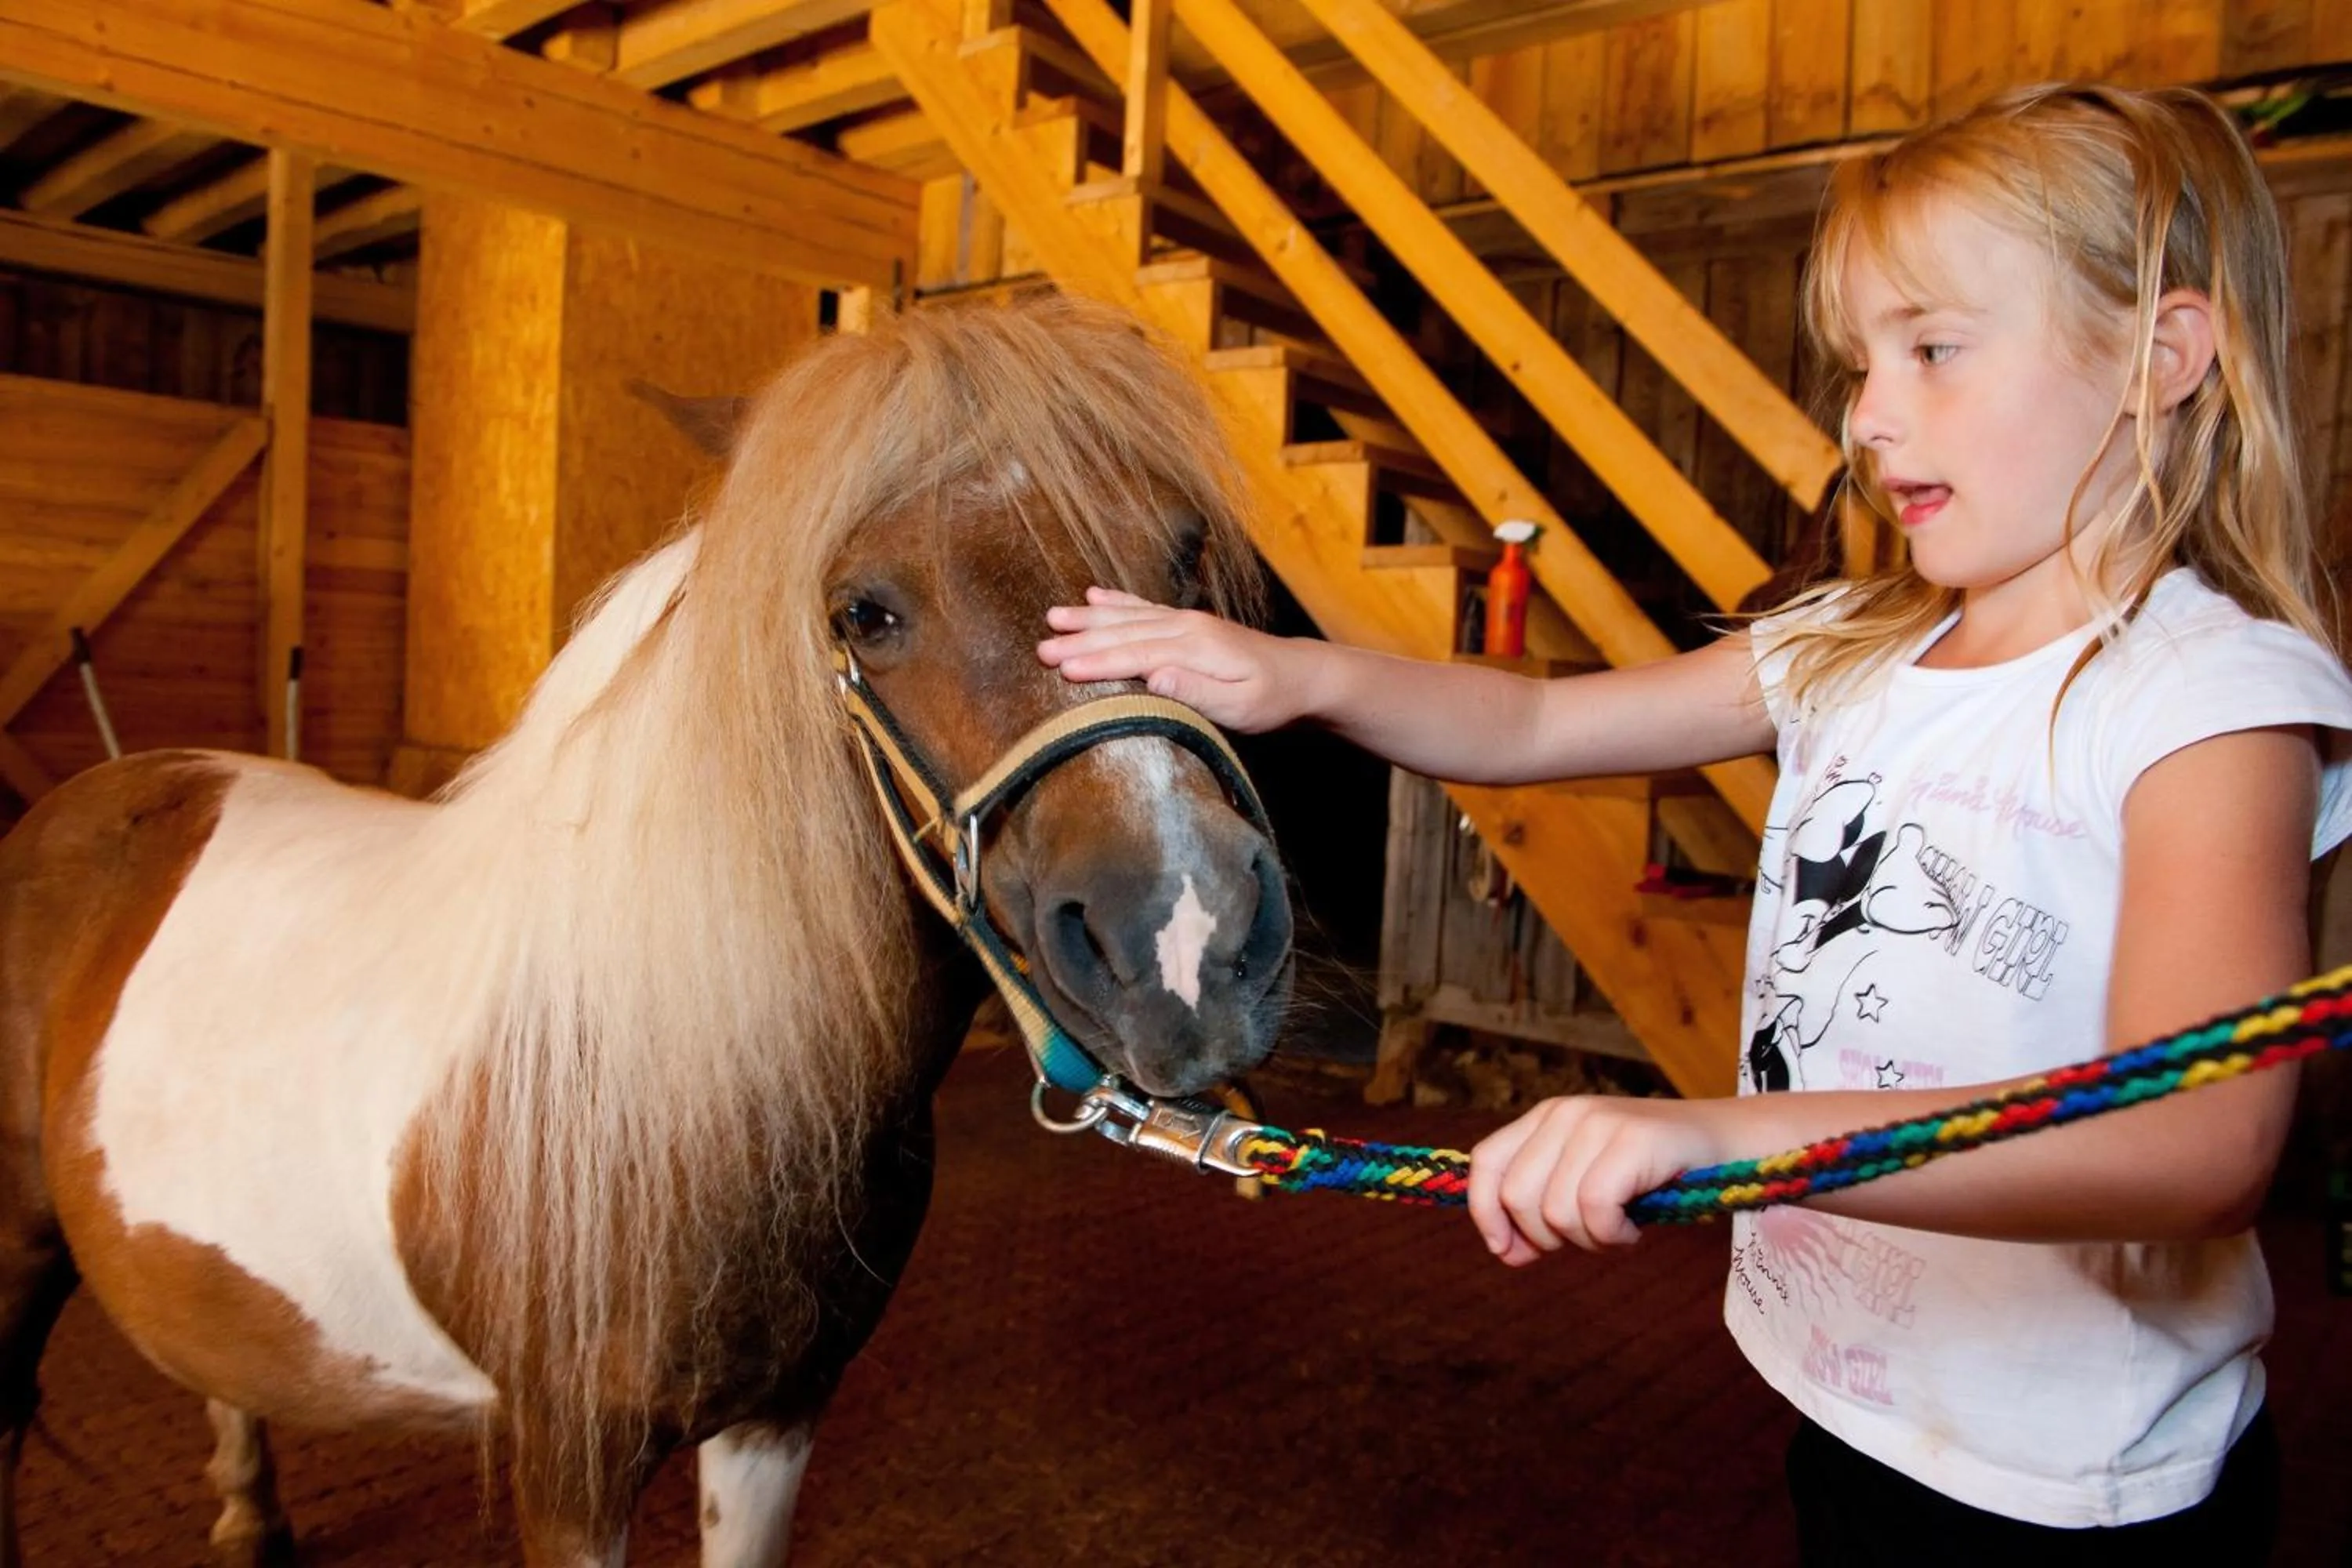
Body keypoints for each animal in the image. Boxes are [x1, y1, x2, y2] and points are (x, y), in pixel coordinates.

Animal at [0, 293, 1295, 1567]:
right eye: (864, 614)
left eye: (1184, 554)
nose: (1187, 938)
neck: (673, 1068)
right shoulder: (570, 1468)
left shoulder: (779, 1418)